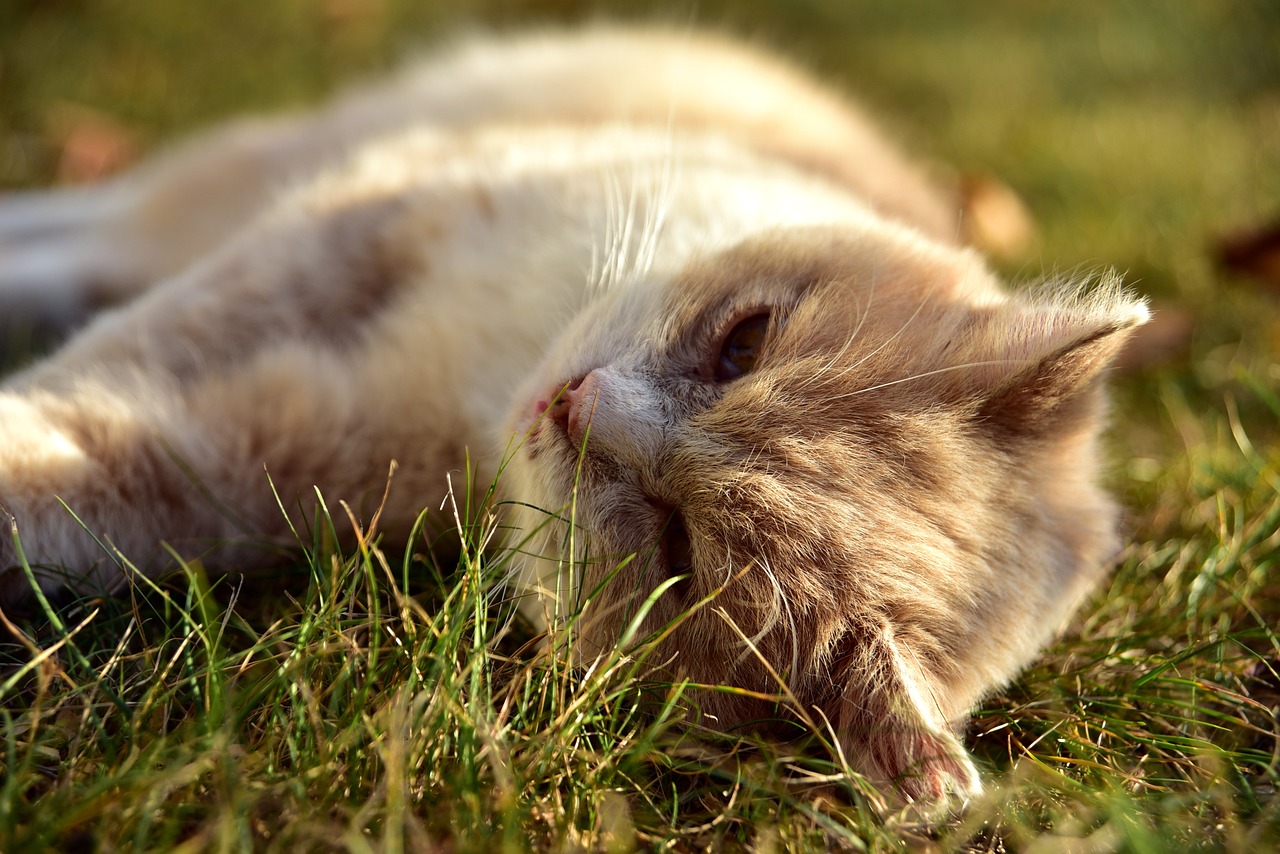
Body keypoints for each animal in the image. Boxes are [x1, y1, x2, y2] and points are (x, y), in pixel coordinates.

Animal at [0, 26, 1152, 809]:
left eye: (680, 551)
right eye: (744, 345)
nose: (574, 404)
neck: (485, 379)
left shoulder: (275, 456)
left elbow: (97, 472)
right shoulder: (346, 232)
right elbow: (111, 359)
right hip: (265, 173)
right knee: (87, 227)